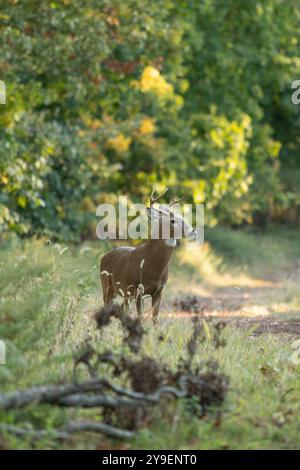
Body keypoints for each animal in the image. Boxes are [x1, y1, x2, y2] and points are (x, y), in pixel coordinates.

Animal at [99, 189, 196, 322]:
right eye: (172, 221)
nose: (193, 232)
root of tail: (103, 257)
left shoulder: (159, 290)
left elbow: (155, 318)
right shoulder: (138, 288)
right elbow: (140, 316)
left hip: (125, 293)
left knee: (122, 309)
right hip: (107, 285)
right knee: (107, 306)